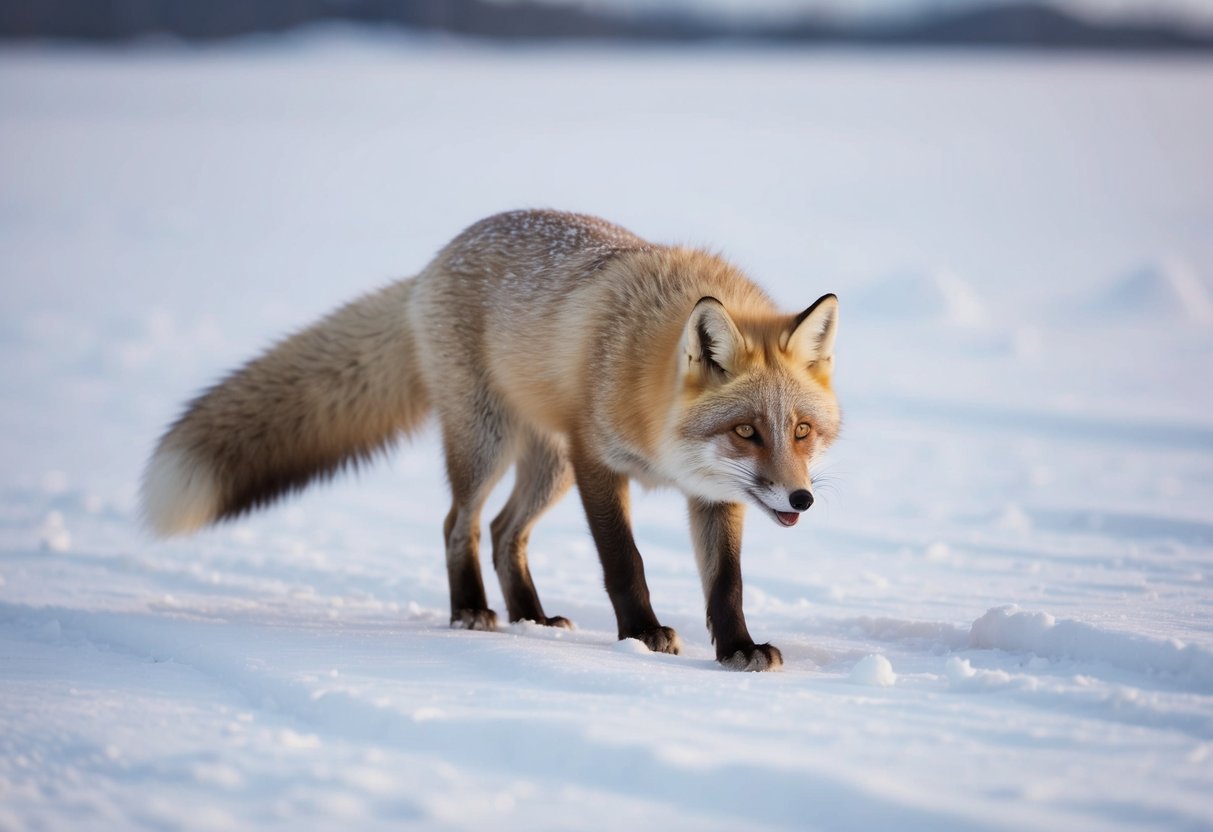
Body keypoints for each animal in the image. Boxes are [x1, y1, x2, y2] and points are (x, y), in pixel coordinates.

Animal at [142, 210, 840, 671]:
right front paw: (640, 634)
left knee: (507, 533)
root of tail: (435, 259)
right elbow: (625, 563)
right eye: (746, 431)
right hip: (489, 443)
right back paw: (471, 610)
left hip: (547, 464)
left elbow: (727, 583)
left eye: (801, 431)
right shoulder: (597, 460)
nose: (801, 499)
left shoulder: (711, 492)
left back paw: (530, 615)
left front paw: (738, 647)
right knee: (461, 523)